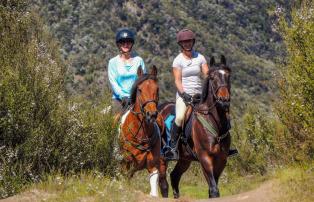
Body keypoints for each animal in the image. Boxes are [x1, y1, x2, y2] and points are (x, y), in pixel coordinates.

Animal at [118, 66, 164, 197]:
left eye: (157, 89)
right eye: (139, 89)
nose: (151, 114)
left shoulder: (152, 166)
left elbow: (153, 191)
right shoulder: (126, 163)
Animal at [159, 55, 231, 199]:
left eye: (228, 76)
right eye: (212, 77)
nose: (224, 100)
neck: (215, 122)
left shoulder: (221, 159)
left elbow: (212, 190)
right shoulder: (205, 157)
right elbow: (214, 190)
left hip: (184, 159)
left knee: (174, 176)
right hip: (162, 157)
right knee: (163, 182)